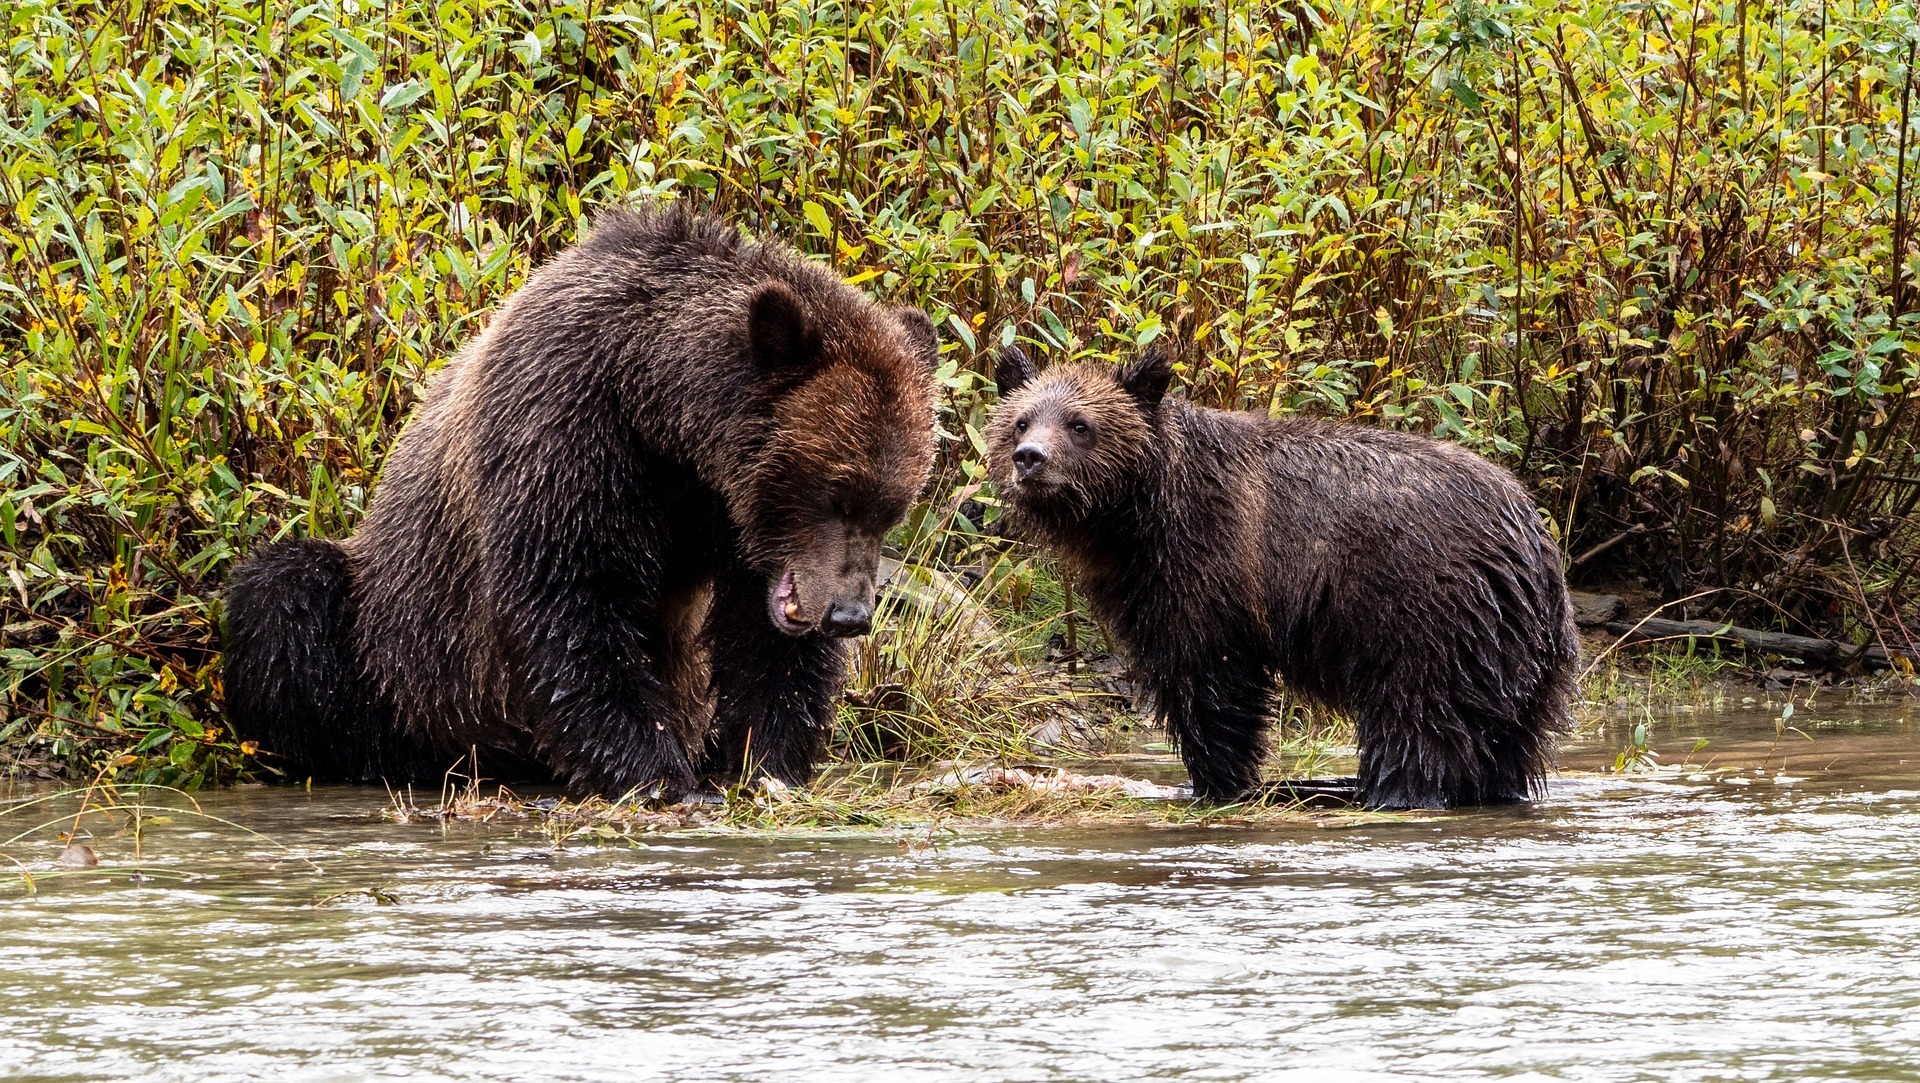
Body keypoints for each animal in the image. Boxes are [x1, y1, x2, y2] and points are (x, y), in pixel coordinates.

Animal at [222, 204, 940, 799]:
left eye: (893, 506)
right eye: (835, 492)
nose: (849, 614)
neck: (660, 410)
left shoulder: (725, 518)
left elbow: (765, 643)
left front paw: (764, 766)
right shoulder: (568, 431)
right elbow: (571, 598)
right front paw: (660, 776)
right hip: (400, 647)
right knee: (287, 597)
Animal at [987, 343, 1577, 809]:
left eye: (1080, 424)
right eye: (1021, 420)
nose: (1030, 458)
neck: (1134, 516)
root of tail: (1531, 533)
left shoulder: (1209, 563)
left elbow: (1208, 678)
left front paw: (1216, 780)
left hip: (1426, 608)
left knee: (1418, 714)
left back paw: (1390, 791)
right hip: (1518, 650)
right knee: (1507, 739)